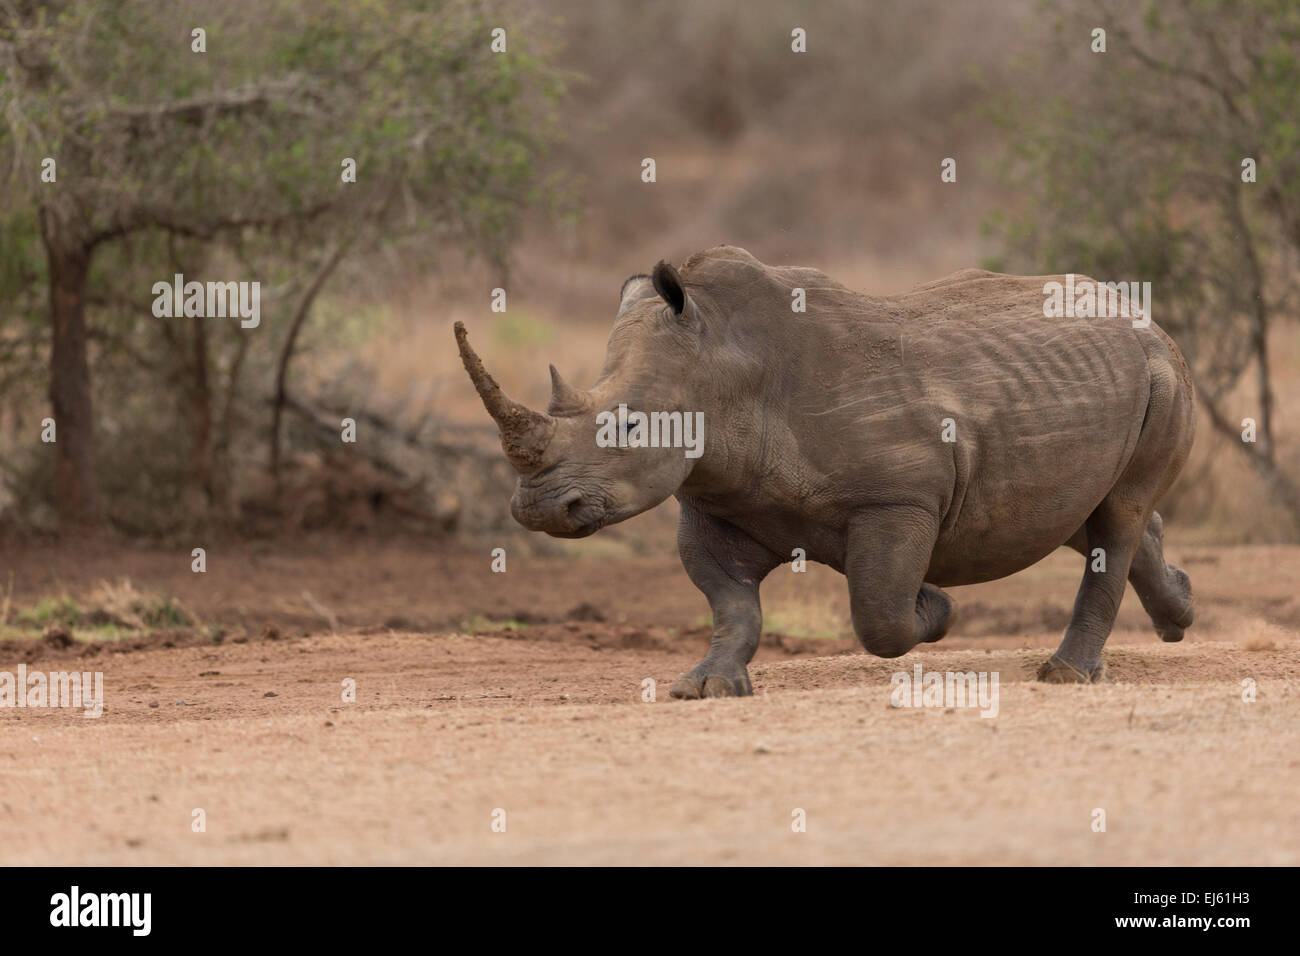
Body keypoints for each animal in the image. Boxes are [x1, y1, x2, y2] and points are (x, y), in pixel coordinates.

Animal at [455, 245, 1196, 696]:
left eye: (631, 428)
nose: (538, 509)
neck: (725, 366)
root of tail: (1144, 317)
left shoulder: (899, 498)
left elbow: (879, 615)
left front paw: (936, 607)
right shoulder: (713, 500)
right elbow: (731, 604)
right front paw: (706, 687)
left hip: (1163, 373)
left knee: (1118, 514)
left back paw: (1067, 675)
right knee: (1082, 514)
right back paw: (1180, 614)